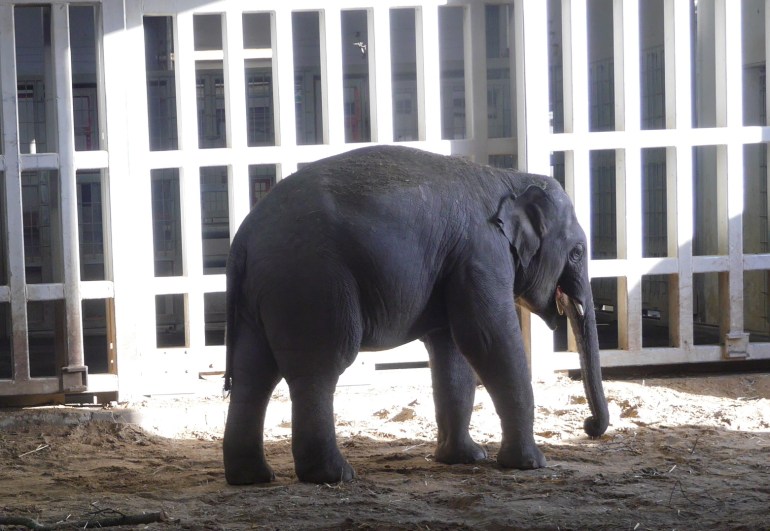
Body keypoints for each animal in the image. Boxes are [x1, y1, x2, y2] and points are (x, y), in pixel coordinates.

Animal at [222, 145, 609, 485]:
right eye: (577, 253)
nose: (590, 427)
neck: (510, 177)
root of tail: (242, 239)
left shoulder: (456, 265)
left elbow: (452, 352)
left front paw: (465, 458)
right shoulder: (481, 254)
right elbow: (488, 339)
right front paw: (530, 464)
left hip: (263, 296)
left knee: (253, 374)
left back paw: (252, 478)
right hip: (312, 283)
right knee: (319, 368)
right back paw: (334, 476)